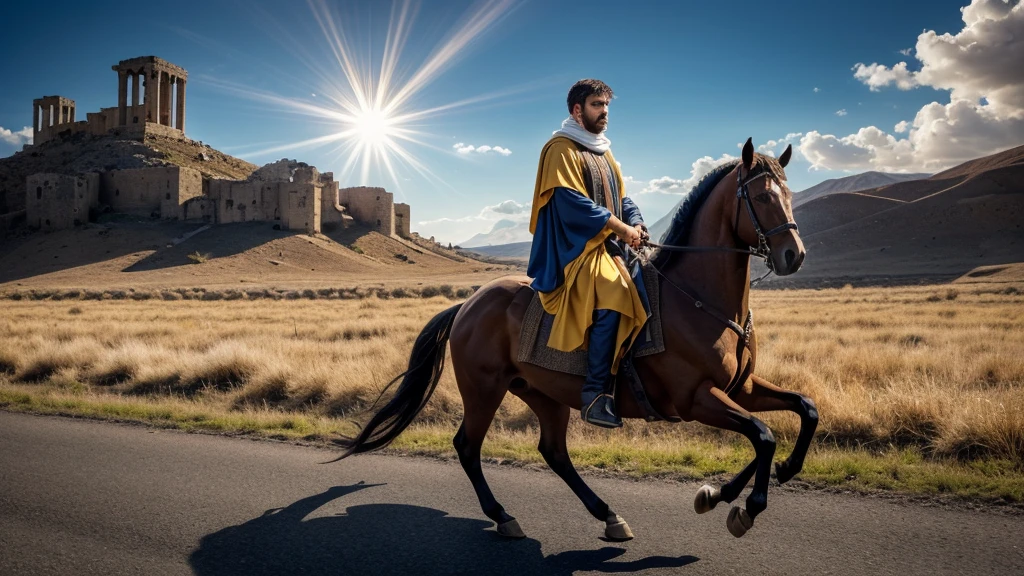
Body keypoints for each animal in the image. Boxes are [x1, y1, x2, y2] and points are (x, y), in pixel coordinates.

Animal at [335, 138, 815, 537]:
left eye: (790, 196)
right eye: (761, 196)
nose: (794, 255)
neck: (697, 299)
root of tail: (468, 305)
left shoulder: (742, 389)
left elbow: (800, 412)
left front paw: (732, 490)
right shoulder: (696, 399)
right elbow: (764, 435)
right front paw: (745, 506)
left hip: (542, 392)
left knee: (554, 452)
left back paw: (608, 515)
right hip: (484, 389)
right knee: (468, 447)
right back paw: (504, 516)